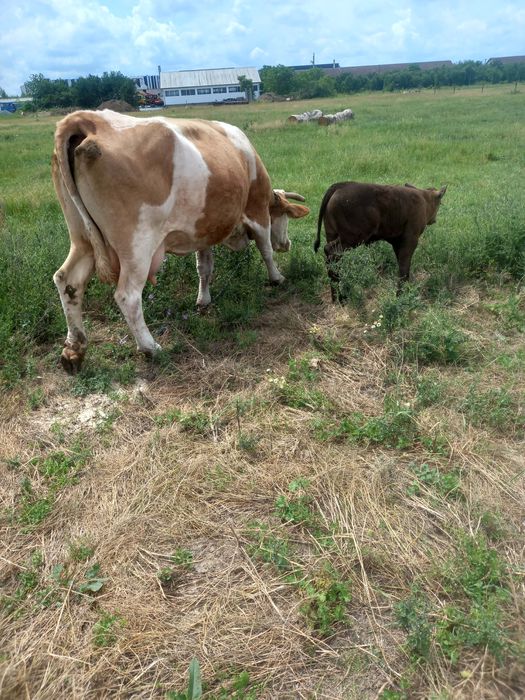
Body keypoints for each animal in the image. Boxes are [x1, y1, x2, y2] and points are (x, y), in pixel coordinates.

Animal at [52, 109, 309, 373]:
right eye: (284, 215)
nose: (287, 244)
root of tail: (88, 119)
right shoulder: (257, 212)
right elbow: (265, 249)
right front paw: (277, 277)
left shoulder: (203, 230)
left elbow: (204, 268)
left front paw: (203, 301)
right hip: (137, 245)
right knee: (127, 296)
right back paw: (150, 347)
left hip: (82, 238)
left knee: (68, 281)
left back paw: (74, 350)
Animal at [314, 181, 446, 301]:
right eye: (439, 202)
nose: (434, 219)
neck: (424, 198)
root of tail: (340, 185)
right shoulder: (410, 240)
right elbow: (404, 266)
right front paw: (400, 295)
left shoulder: (397, 242)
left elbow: (402, 264)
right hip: (351, 239)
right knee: (331, 252)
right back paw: (340, 296)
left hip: (332, 234)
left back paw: (337, 296)